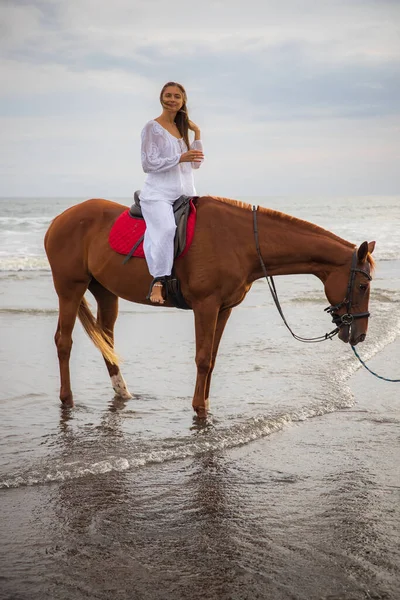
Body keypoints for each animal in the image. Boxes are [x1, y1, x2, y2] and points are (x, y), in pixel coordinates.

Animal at [44, 197, 376, 418]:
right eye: (362, 286)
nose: (359, 334)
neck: (242, 241)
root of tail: (58, 220)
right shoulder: (206, 306)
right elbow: (203, 359)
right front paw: (198, 409)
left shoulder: (224, 309)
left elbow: (213, 359)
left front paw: (205, 404)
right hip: (69, 288)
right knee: (63, 341)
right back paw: (67, 399)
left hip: (105, 292)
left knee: (106, 341)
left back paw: (123, 392)